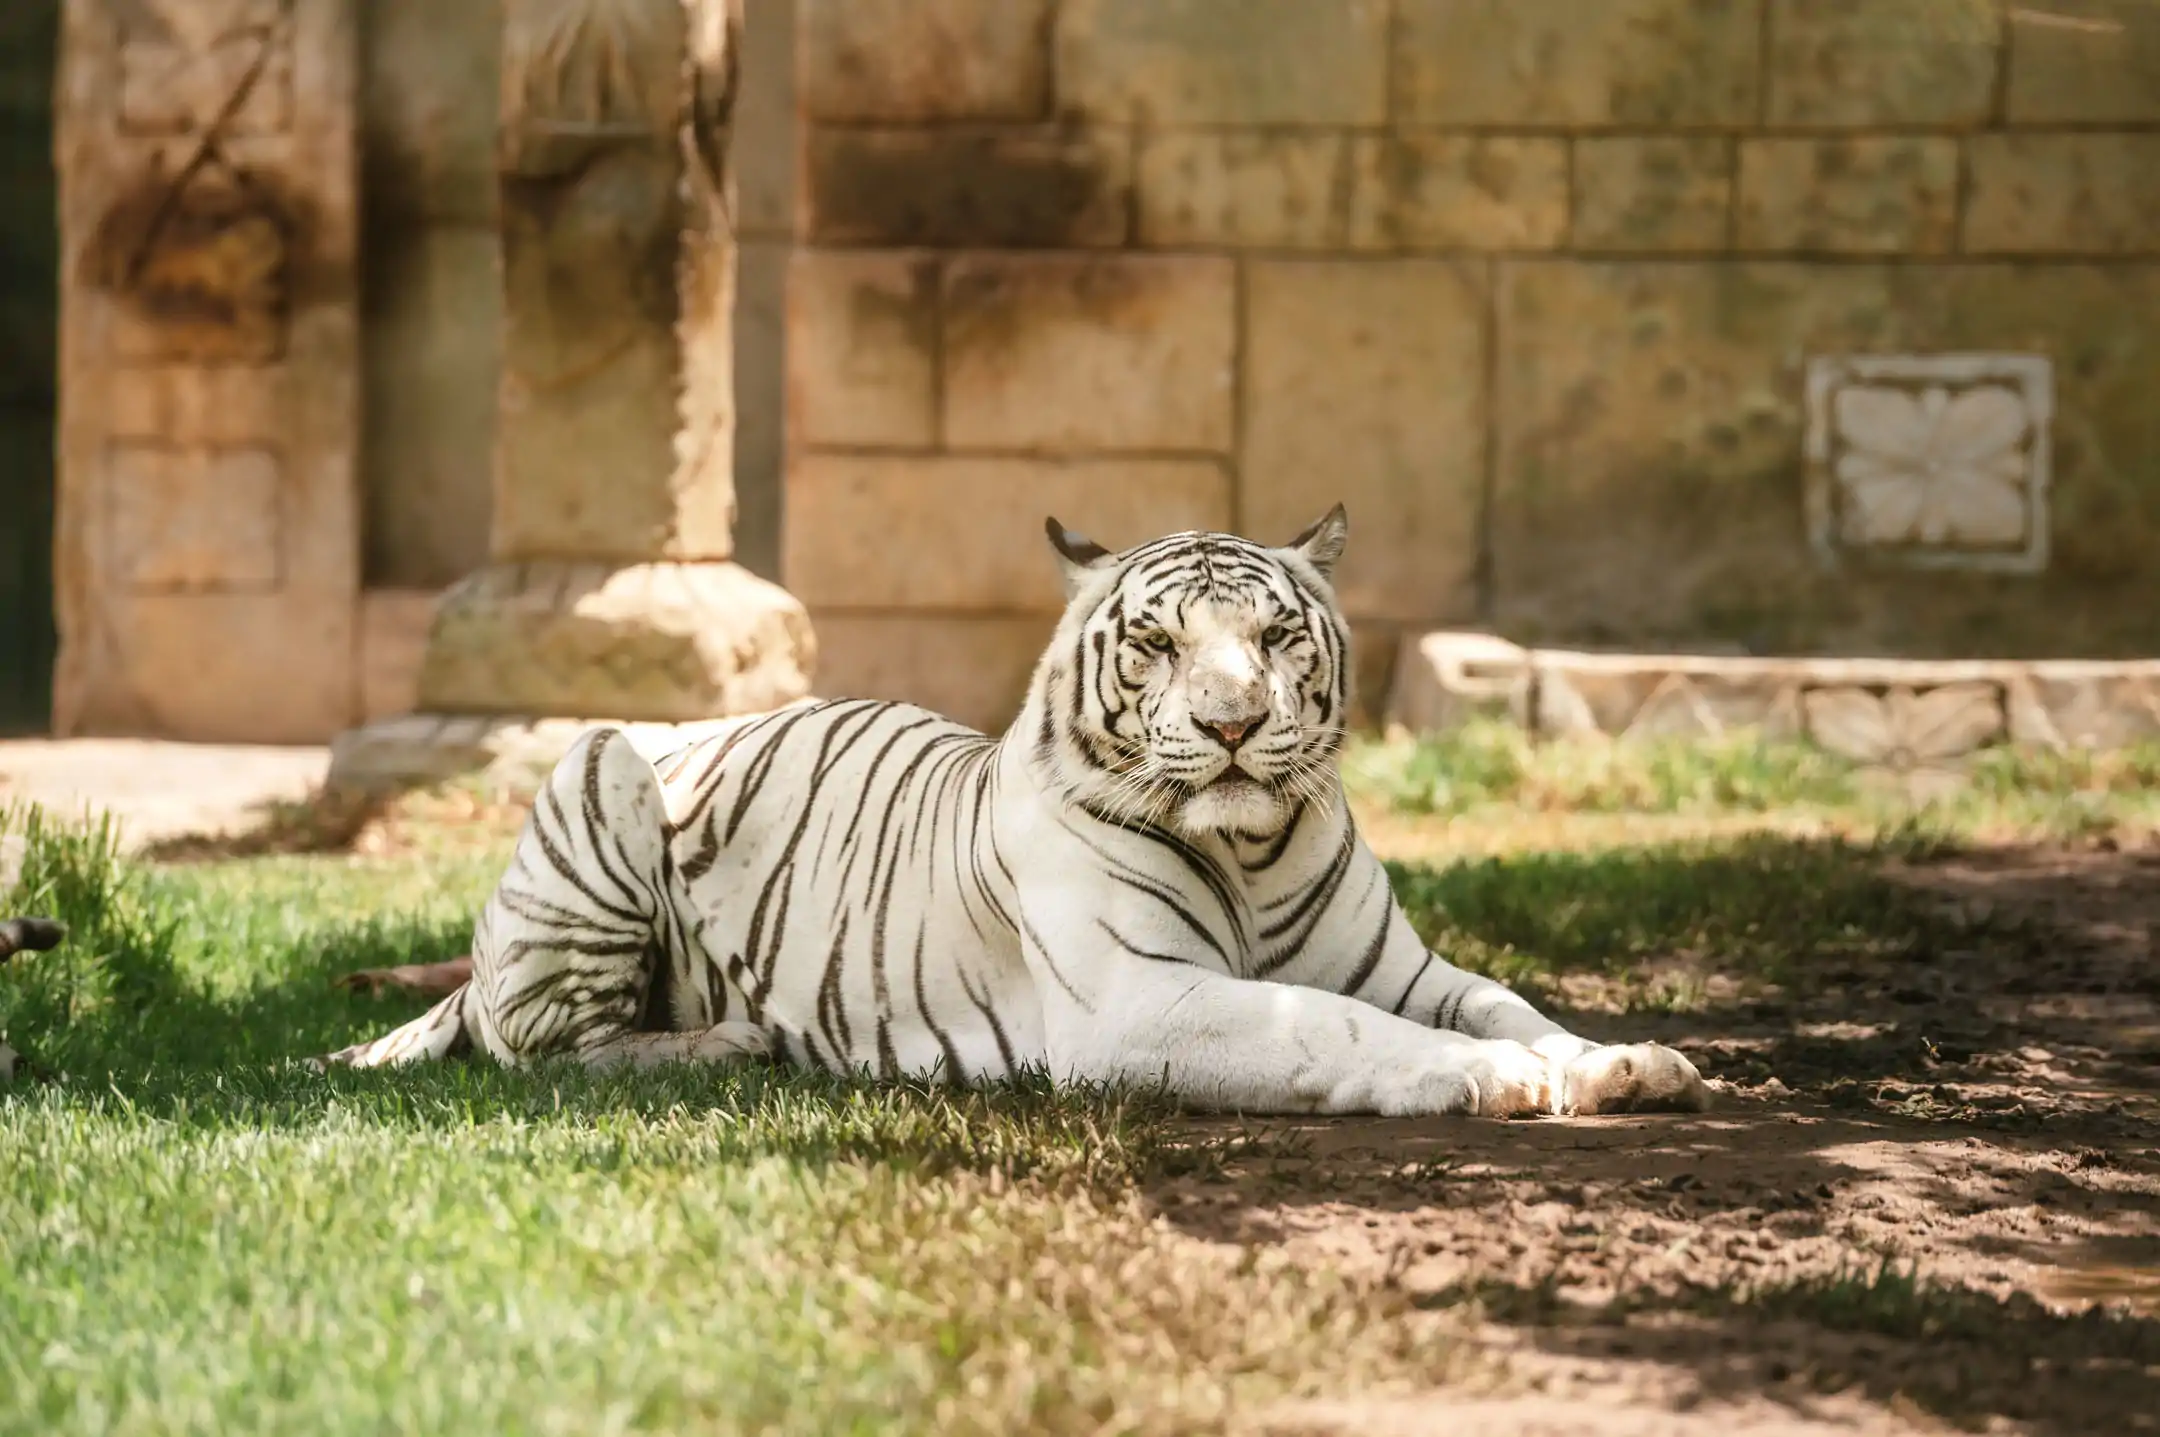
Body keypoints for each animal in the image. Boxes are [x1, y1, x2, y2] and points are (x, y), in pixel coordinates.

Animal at [324, 507, 1702, 1123]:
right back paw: (725, 1045)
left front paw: (1618, 1058)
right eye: (1159, 643)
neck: (1253, 849)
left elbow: (1504, 999)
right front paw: (1501, 1081)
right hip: (598, 769)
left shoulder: (1408, 967)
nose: (1234, 725)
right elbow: (1335, 1026)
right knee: (549, 1050)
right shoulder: (1145, 998)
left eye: (1273, 638)